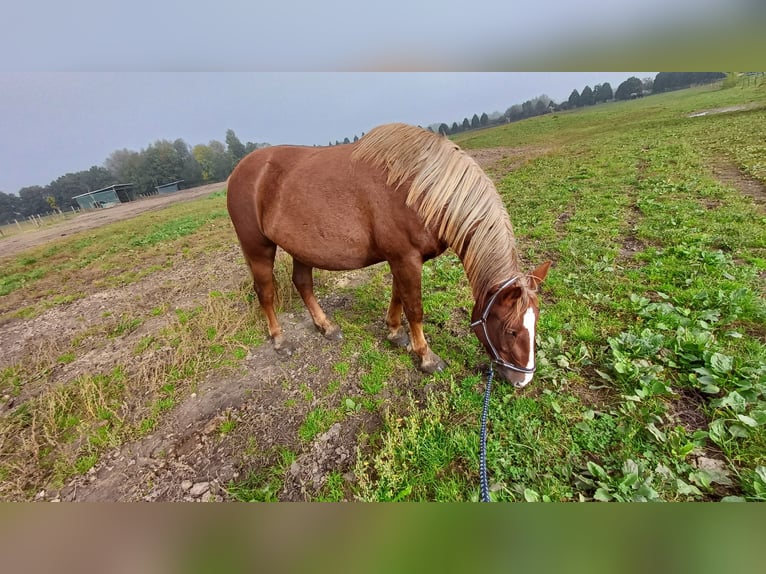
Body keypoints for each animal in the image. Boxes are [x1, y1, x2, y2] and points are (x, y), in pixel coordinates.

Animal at [228, 124, 552, 390]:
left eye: (535, 322)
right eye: (511, 330)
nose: (522, 381)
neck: (421, 188)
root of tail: (241, 170)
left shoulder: (404, 260)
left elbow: (398, 295)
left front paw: (395, 333)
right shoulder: (405, 258)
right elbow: (415, 308)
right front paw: (426, 357)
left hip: (301, 248)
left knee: (302, 283)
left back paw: (326, 327)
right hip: (258, 248)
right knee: (266, 292)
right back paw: (280, 340)